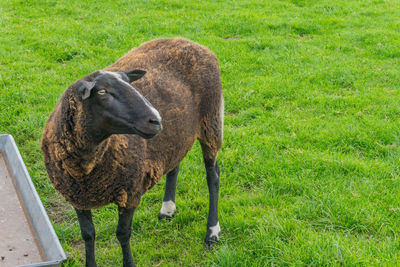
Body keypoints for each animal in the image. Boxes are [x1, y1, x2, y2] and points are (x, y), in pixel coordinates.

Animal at [41, 38, 223, 267]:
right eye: (102, 92)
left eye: (130, 84)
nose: (156, 120)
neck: (86, 168)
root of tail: (191, 42)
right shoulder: (77, 197)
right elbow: (88, 235)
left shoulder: (129, 193)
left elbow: (122, 234)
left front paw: (129, 263)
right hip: (177, 134)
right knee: (175, 165)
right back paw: (167, 209)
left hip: (211, 121)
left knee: (213, 176)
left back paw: (212, 232)